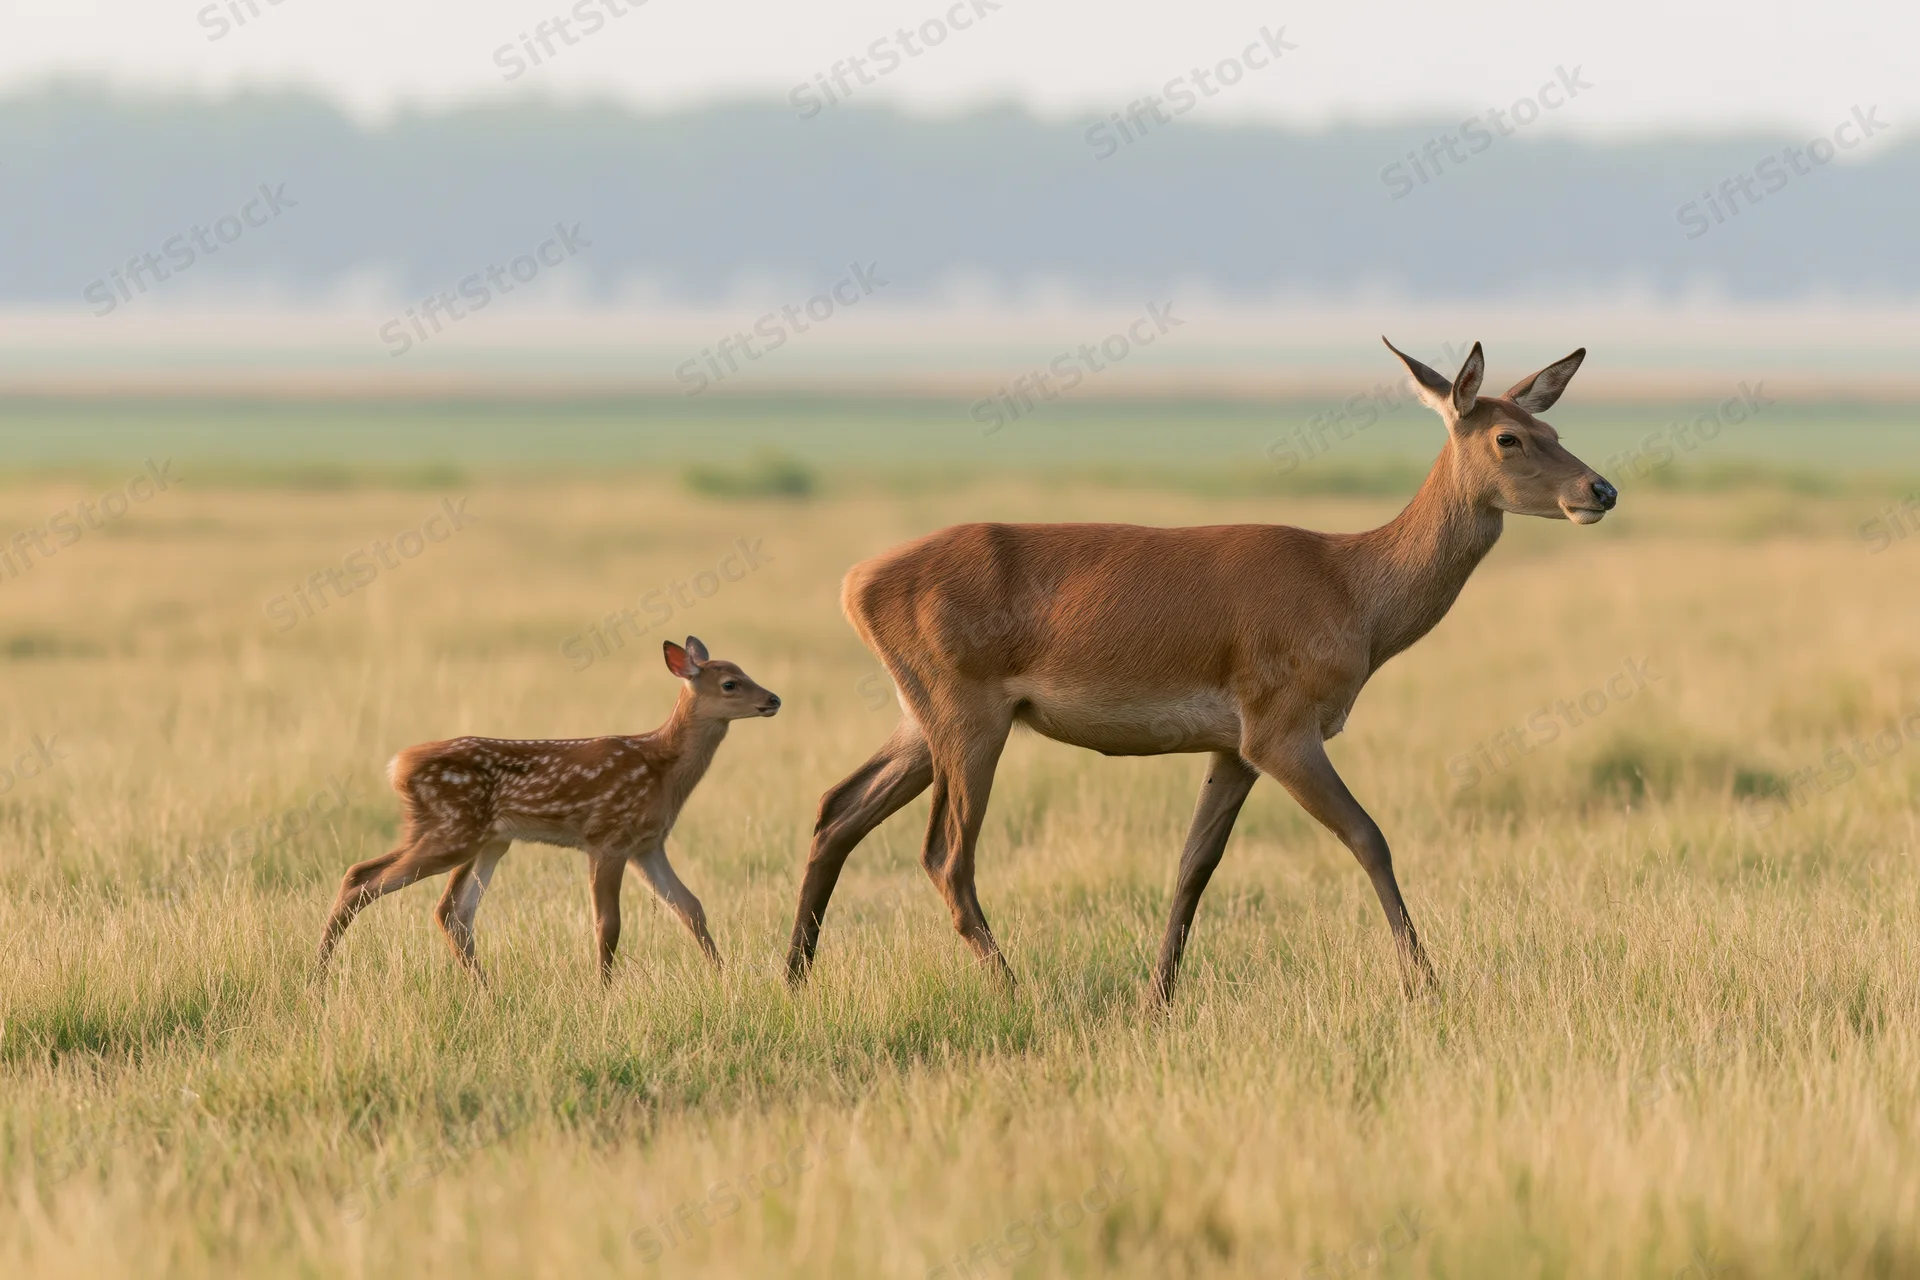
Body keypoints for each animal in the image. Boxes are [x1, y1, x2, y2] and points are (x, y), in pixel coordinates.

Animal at [316, 637, 780, 983]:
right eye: (730, 684)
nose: (773, 699)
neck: (663, 767)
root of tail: (399, 766)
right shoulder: (607, 835)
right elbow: (608, 923)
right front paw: (603, 991)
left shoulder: (647, 845)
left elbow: (691, 907)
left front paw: (723, 978)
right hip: (454, 833)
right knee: (369, 885)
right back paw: (318, 979)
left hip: (476, 838)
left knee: (438, 906)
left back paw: (484, 990)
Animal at [784, 340, 1617, 1002]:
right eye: (1509, 436)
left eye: (1555, 427)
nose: (1599, 490)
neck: (1353, 590)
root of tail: (856, 582)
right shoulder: (1283, 731)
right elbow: (1369, 836)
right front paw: (1428, 984)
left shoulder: (1232, 747)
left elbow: (1194, 865)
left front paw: (1159, 996)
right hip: (969, 718)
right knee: (945, 856)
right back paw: (1019, 991)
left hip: (921, 721)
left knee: (836, 810)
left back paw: (792, 979)